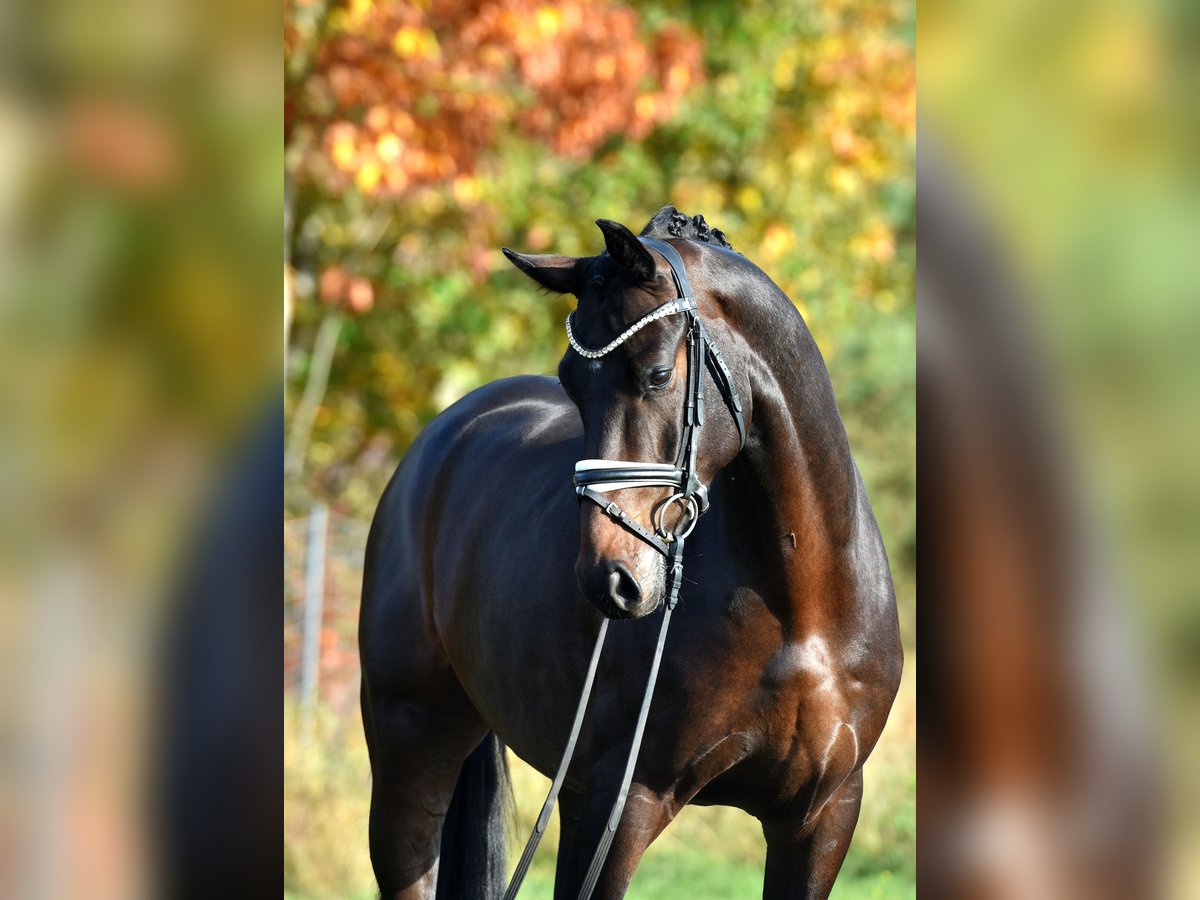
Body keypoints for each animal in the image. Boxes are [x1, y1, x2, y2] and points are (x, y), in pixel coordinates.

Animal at [358, 206, 903, 899]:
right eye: (570, 383)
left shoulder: (822, 816)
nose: (608, 580)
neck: (800, 611)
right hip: (409, 750)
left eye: (659, 375)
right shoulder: (613, 805)